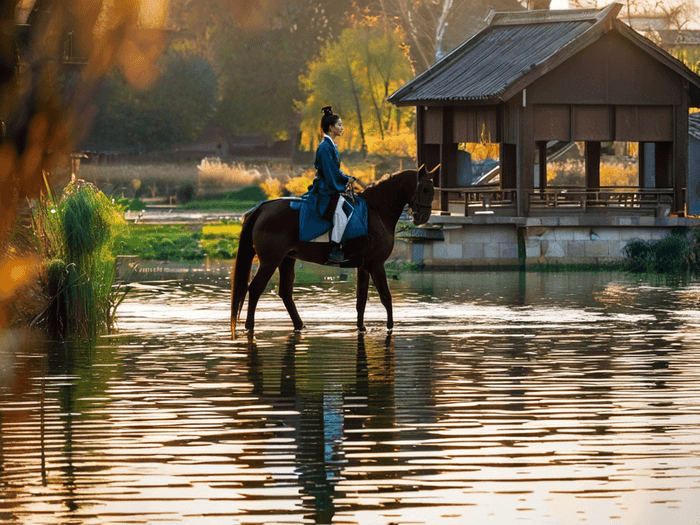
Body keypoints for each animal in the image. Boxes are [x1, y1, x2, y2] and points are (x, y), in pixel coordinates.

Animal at [232, 165, 434, 336]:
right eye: (425, 189)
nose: (423, 218)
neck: (376, 211)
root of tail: (262, 208)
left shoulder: (363, 266)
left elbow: (361, 299)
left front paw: (361, 327)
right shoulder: (376, 265)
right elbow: (386, 297)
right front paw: (390, 328)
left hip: (287, 259)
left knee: (285, 292)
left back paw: (300, 325)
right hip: (270, 261)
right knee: (256, 288)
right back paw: (250, 327)